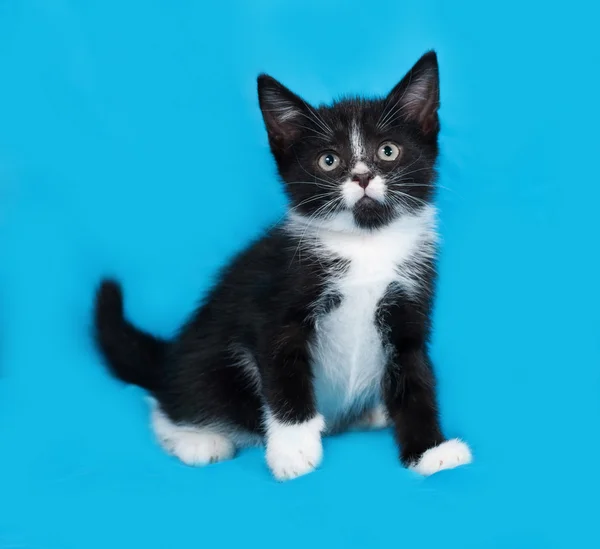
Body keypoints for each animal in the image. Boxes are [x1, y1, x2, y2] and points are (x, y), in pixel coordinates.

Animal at [95, 51, 474, 480]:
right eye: (329, 160)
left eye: (388, 151)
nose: (362, 177)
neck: (365, 245)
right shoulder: (277, 303)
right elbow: (285, 378)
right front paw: (293, 450)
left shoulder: (409, 305)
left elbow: (415, 381)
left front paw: (431, 451)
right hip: (213, 362)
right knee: (173, 400)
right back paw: (197, 439)